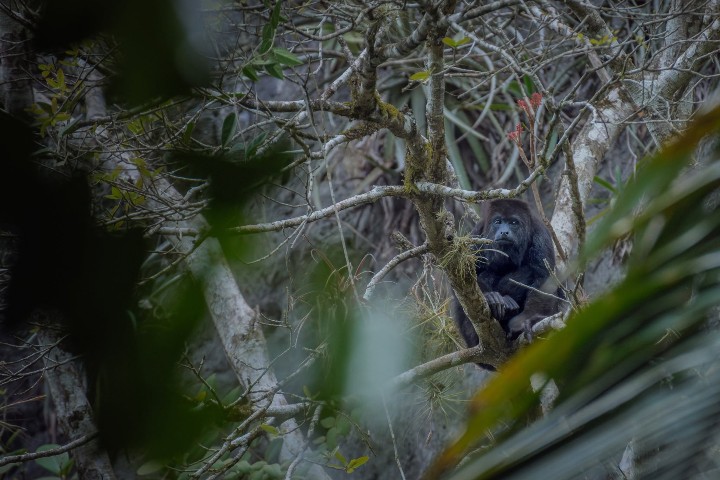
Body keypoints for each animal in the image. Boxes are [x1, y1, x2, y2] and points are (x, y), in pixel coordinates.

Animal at [454, 198, 563, 351]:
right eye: (498, 221)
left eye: (513, 222)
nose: (504, 232)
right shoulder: (476, 235)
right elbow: (463, 276)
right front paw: (491, 298)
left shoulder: (541, 236)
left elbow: (544, 281)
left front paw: (529, 321)